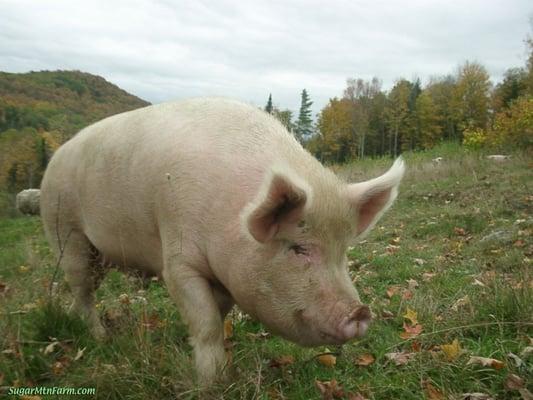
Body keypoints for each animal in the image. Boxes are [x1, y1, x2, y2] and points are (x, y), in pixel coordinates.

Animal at [40, 97, 404, 384]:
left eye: (343, 250)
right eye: (297, 247)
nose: (359, 312)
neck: (230, 219)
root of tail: (52, 162)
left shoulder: (227, 275)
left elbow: (219, 315)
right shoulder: (179, 262)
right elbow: (206, 324)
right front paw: (212, 383)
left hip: (97, 254)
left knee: (84, 291)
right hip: (66, 232)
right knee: (82, 288)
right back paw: (100, 338)